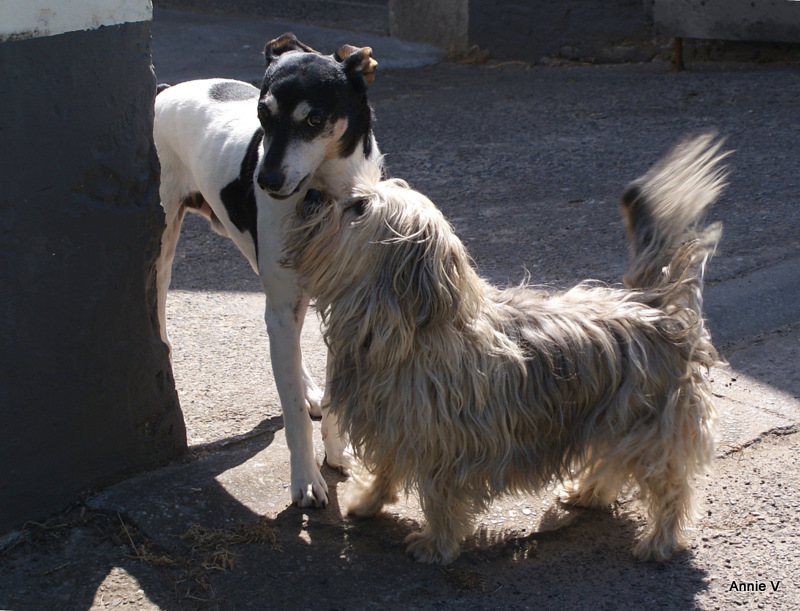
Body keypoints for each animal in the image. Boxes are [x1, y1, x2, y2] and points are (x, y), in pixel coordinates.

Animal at [157, 34, 384, 506]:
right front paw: (306, 480)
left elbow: (332, 397)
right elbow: (292, 413)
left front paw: (337, 452)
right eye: (262, 115)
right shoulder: (284, 308)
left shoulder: (342, 305)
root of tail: (164, 91)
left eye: (314, 119)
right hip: (165, 240)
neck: (325, 197)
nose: (265, 181)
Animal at [286, 133, 724, 564]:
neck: (404, 329)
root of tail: (655, 306)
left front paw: (436, 543)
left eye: (358, 206)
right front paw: (369, 502)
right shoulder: (394, 425)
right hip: (610, 420)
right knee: (610, 465)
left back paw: (659, 541)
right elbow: (386, 468)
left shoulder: (447, 444)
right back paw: (587, 494)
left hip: (646, 428)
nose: (310, 193)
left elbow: (439, 496)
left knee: (669, 488)